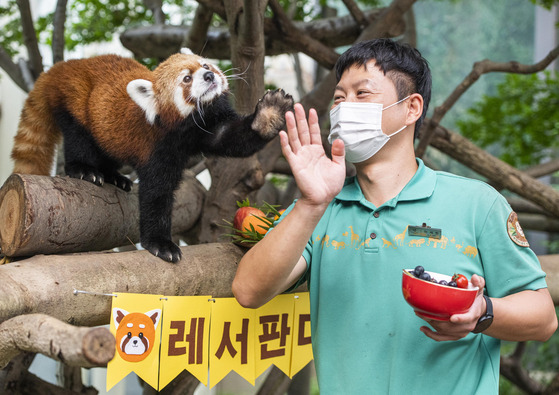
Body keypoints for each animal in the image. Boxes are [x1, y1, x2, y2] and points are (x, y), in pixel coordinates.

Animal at [10, 48, 296, 262]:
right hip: (76, 104)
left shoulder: (209, 127)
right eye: (187, 78)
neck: (187, 127)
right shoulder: (156, 147)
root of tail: (62, 67)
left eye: (205, 64)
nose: (208, 74)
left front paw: (268, 116)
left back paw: (115, 177)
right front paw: (161, 244)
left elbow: (233, 140)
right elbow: (156, 193)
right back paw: (85, 170)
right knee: (79, 140)